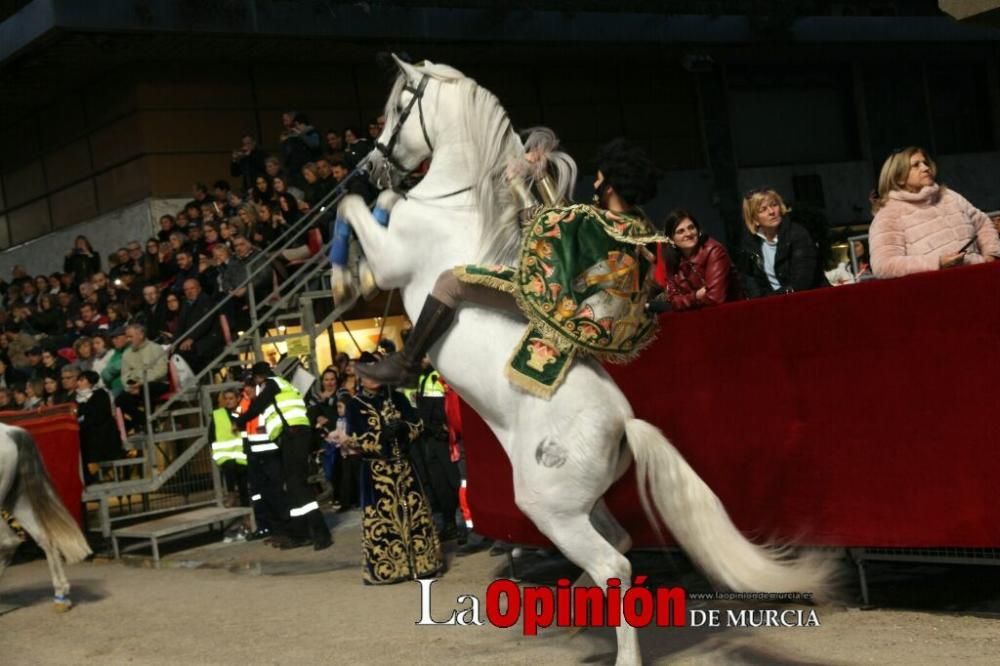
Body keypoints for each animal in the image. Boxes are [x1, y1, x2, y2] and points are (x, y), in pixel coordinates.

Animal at [338, 58, 836, 664]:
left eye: (393, 108)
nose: (369, 163)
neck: (452, 203)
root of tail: (625, 423)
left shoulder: (396, 260)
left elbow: (358, 214)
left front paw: (346, 276)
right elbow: (376, 213)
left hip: (547, 508)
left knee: (615, 562)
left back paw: (618, 649)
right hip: (578, 504)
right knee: (617, 543)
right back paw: (571, 609)